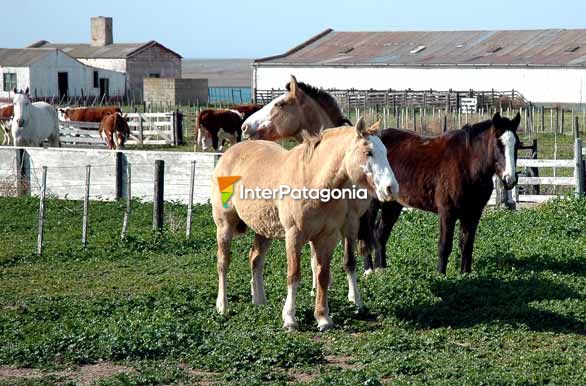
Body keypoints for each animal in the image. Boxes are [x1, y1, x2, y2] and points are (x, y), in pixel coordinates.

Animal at [210, 120, 396, 332]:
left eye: (385, 152)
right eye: (368, 152)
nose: (391, 188)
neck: (313, 180)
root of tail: (229, 153)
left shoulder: (327, 238)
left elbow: (323, 275)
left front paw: (323, 318)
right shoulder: (294, 236)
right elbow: (294, 275)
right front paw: (290, 319)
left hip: (264, 229)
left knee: (256, 259)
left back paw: (259, 301)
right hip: (224, 226)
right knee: (223, 262)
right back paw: (222, 306)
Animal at [360, 111, 520, 274]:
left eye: (517, 145)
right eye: (498, 144)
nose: (510, 179)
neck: (467, 164)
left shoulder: (473, 213)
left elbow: (467, 245)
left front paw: (465, 274)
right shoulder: (447, 212)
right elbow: (445, 245)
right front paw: (440, 274)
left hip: (392, 205)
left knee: (380, 234)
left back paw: (381, 270)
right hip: (373, 205)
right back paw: (369, 270)